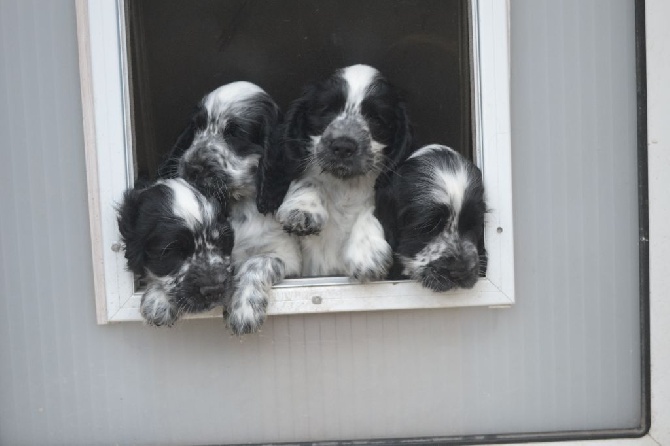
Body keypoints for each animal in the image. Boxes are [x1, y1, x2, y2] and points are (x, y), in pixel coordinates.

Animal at [163, 81, 302, 334]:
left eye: (235, 134)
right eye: (197, 126)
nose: (191, 167)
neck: (238, 205)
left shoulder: (287, 255)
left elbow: (257, 263)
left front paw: (244, 310)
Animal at [258, 64, 412, 280]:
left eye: (376, 118)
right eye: (326, 110)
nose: (343, 146)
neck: (344, 185)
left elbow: (375, 204)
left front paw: (367, 252)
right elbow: (308, 177)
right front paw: (303, 209)